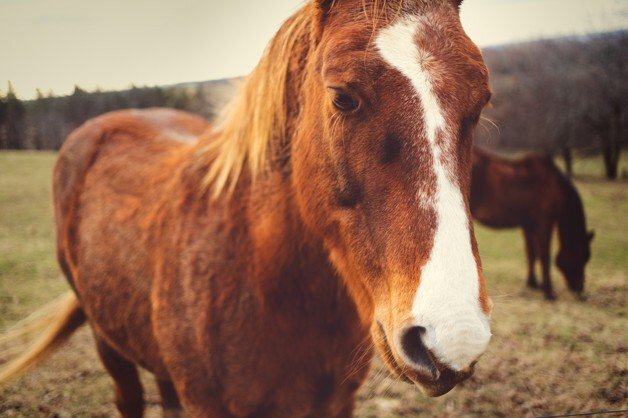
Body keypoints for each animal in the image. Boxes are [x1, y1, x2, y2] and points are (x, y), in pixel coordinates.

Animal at [472, 147, 592, 300]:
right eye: (582, 256)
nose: (579, 288)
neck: (554, 184)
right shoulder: (545, 221)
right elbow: (544, 255)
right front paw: (548, 292)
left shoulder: (529, 225)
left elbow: (532, 253)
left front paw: (533, 283)